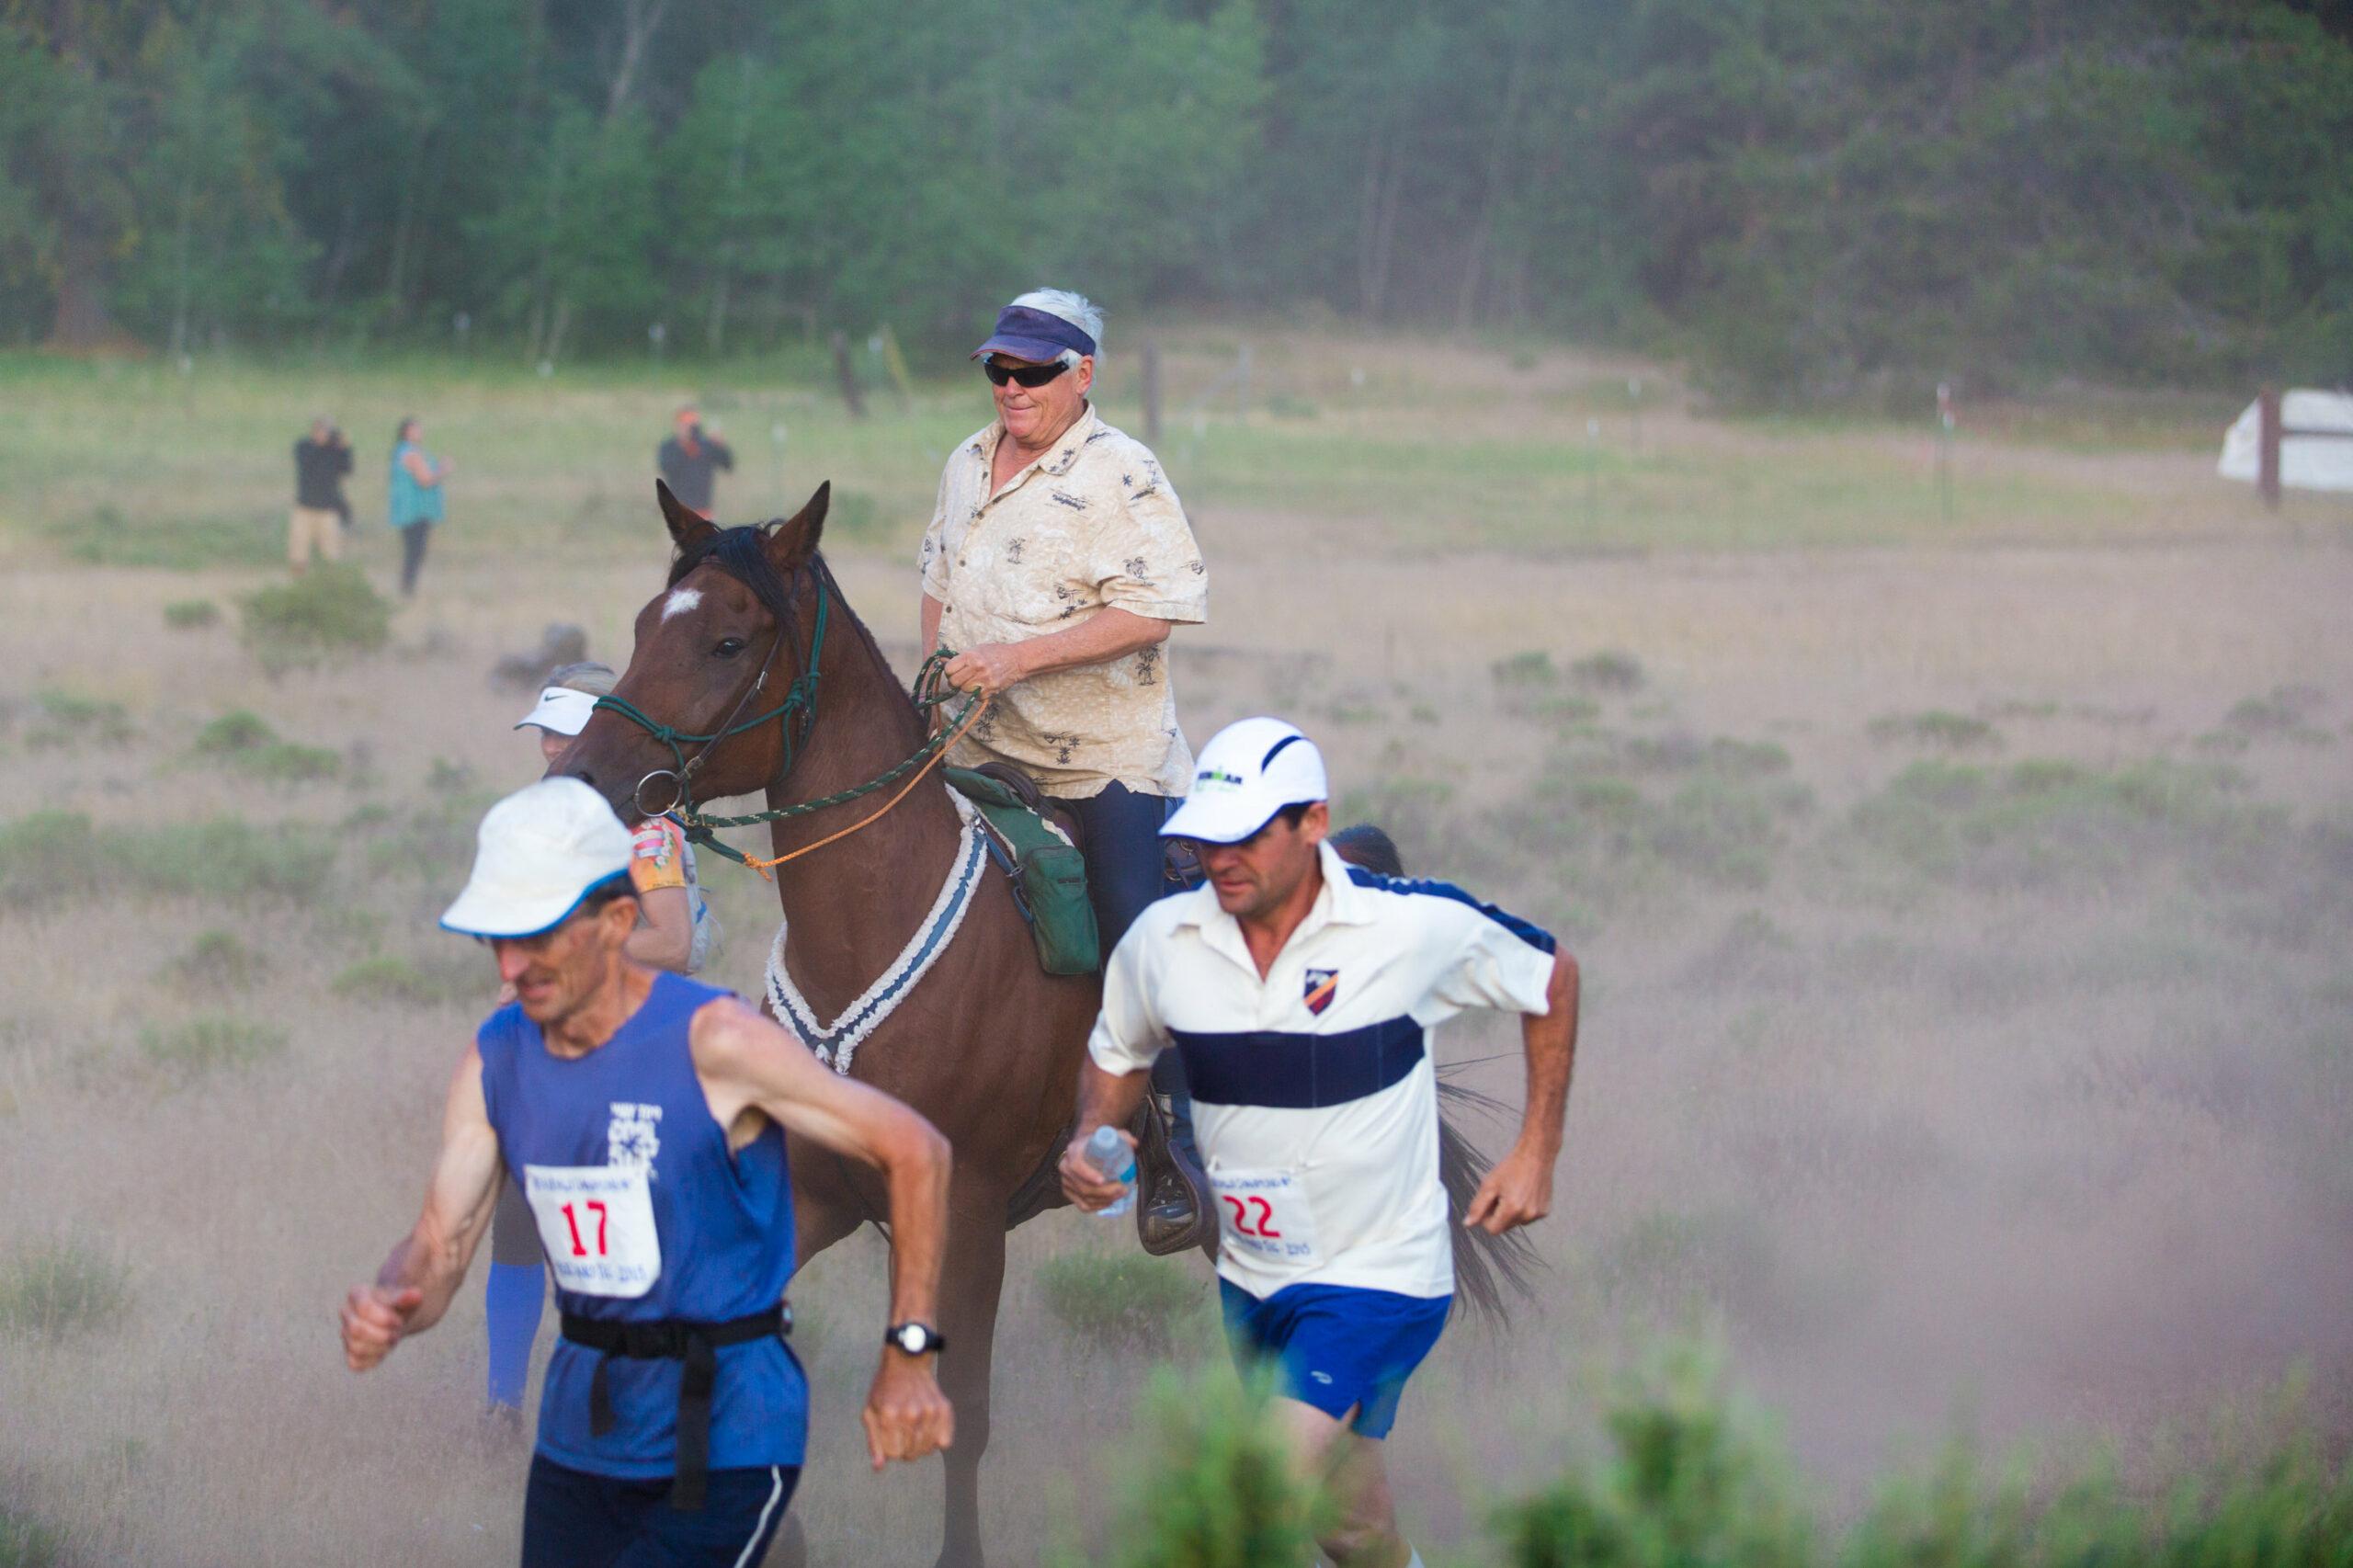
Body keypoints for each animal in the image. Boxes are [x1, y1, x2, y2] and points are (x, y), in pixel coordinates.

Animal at [560, 483, 1534, 1553]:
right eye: (647, 625)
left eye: (728, 642)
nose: (583, 781)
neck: (870, 922)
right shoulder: (817, 1191)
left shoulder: (973, 1212)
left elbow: (961, 1413)